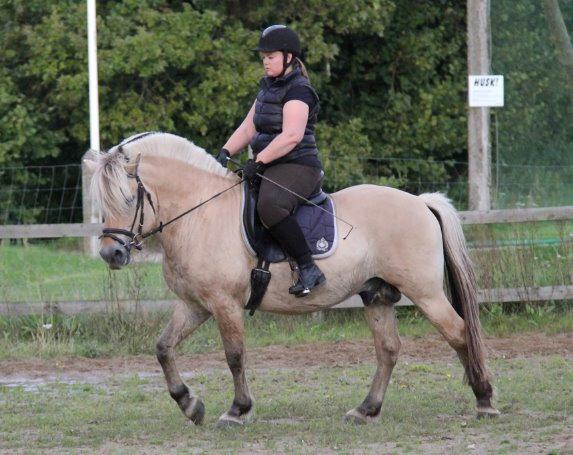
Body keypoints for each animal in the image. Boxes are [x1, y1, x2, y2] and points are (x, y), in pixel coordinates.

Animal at [87, 132, 498, 428]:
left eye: (129, 199)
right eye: (102, 202)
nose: (111, 255)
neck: (199, 215)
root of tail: (421, 201)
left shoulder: (224, 304)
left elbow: (234, 355)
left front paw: (237, 410)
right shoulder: (194, 305)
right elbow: (163, 348)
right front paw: (190, 405)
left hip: (425, 293)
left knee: (459, 332)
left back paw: (484, 399)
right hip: (377, 294)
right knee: (388, 350)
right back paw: (366, 410)